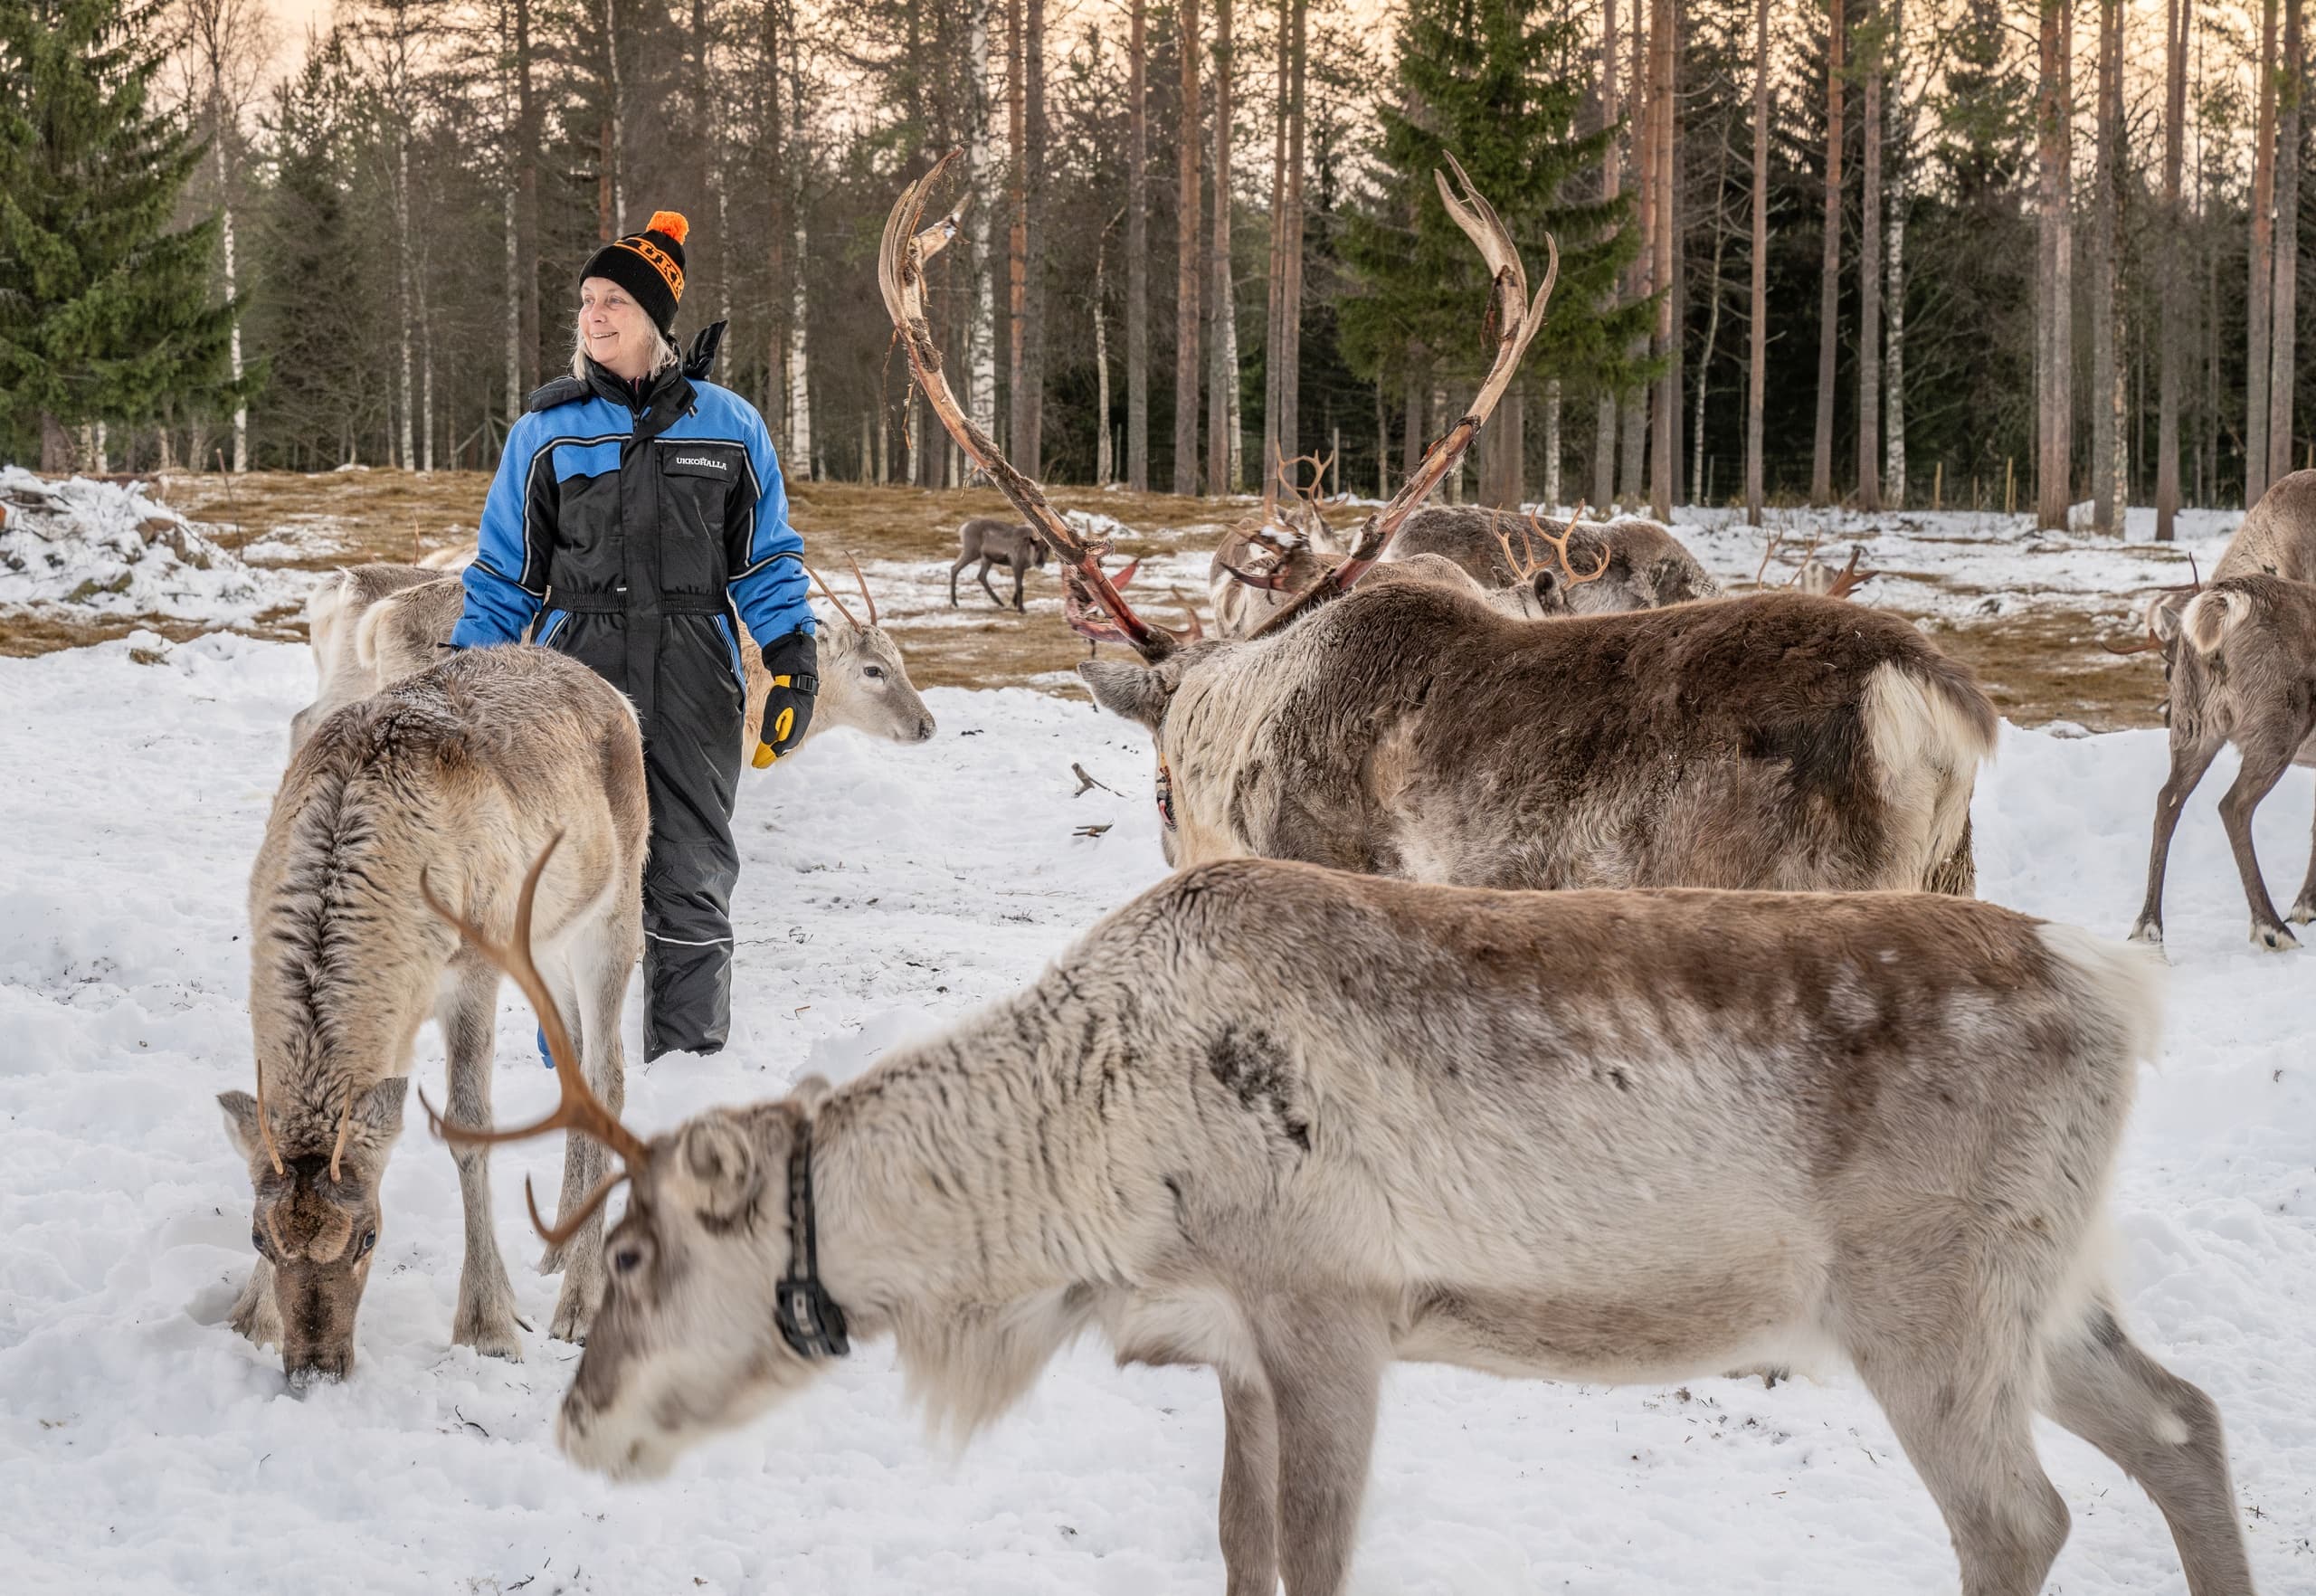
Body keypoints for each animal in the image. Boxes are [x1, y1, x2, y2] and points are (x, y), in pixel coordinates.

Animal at [220, 646, 647, 1384]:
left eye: (369, 1235)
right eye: (258, 1237)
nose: (316, 1368)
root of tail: (615, 694)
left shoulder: (473, 971)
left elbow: (469, 1128)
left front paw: (487, 1325)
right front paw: (253, 1317)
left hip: (613, 914)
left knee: (609, 1073)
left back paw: (578, 1300)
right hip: (547, 943)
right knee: (575, 1068)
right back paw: (557, 1252)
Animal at [427, 839, 2255, 1596]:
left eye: (633, 1252)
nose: (579, 1423)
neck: (1086, 1177)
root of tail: (2121, 987)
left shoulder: (1333, 1314)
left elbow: (1314, 1559)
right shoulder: (1236, 1346)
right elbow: (1242, 1554)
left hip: (1928, 1305)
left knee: (2019, 1520)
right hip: (2042, 1295)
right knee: (2184, 1422)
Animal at [2128, 573, 2316, 950]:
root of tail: (2225, 600)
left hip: (2192, 722)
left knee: (2168, 799)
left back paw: (2148, 925)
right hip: (2281, 722)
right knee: (2234, 805)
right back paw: (2272, 927)